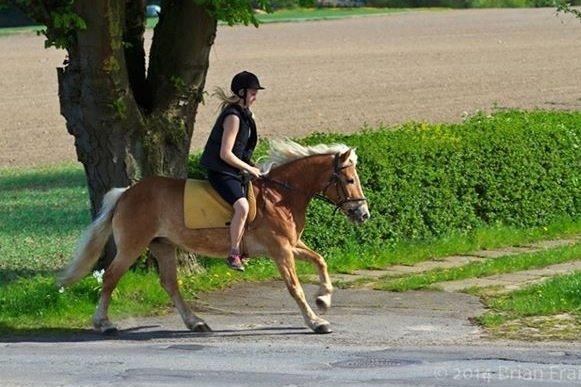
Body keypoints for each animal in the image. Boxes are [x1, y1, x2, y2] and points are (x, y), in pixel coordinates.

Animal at [59, 141, 368, 334]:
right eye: (350, 180)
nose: (363, 213)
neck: (280, 195)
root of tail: (126, 193)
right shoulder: (280, 250)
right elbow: (294, 287)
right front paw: (316, 321)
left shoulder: (290, 245)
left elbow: (320, 260)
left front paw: (324, 299)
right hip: (132, 245)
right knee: (111, 277)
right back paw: (103, 323)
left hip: (163, 245)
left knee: (169, 283)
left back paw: (195, 322)